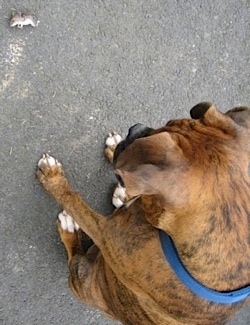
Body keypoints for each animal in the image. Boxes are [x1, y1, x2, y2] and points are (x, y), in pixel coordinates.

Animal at [36, 103, 249, 324]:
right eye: (167, 123)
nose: (135, 128)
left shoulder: (103, 233)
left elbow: (74, 201)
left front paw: (52, 178)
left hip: (82, 273)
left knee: (74, 259)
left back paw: (69, 228)